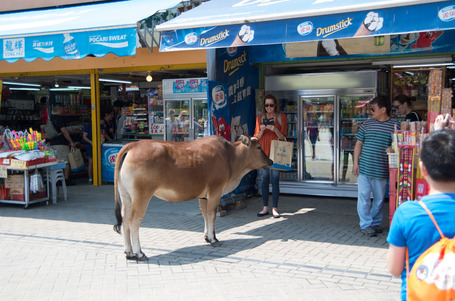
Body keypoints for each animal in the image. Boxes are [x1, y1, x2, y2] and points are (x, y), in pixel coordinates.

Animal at [113, 135, 272, 258]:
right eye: (259, 147)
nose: (270, 161)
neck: (229, 156)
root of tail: (133, 145)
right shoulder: (215, 191)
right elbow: (211, 215)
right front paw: (213, 239)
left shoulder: (203, 196)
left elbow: (205, 215)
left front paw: (208, 237)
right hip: (142, 196)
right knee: (134, 220)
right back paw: (139, 253)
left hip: (126, 196)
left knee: (125, 219)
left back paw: (129, 252)